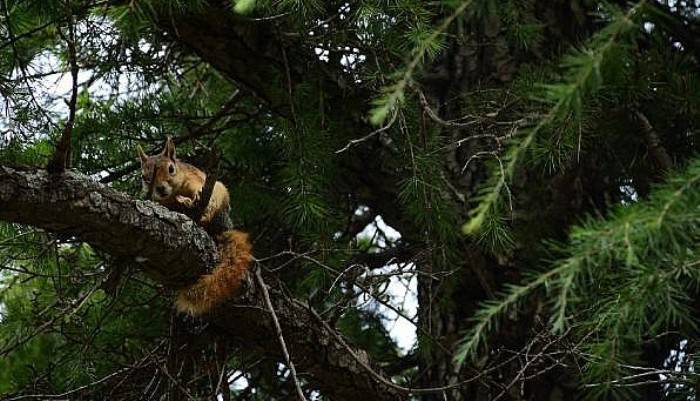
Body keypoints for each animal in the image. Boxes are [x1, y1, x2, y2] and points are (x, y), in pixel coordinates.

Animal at [135, 137, 253, 316]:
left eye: (171, 168)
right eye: (143, 177)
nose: (160, 188)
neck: (175, 192)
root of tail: (222, 229)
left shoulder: (193, 178)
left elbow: (198, 187)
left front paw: (193, 196)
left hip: (219, 195)